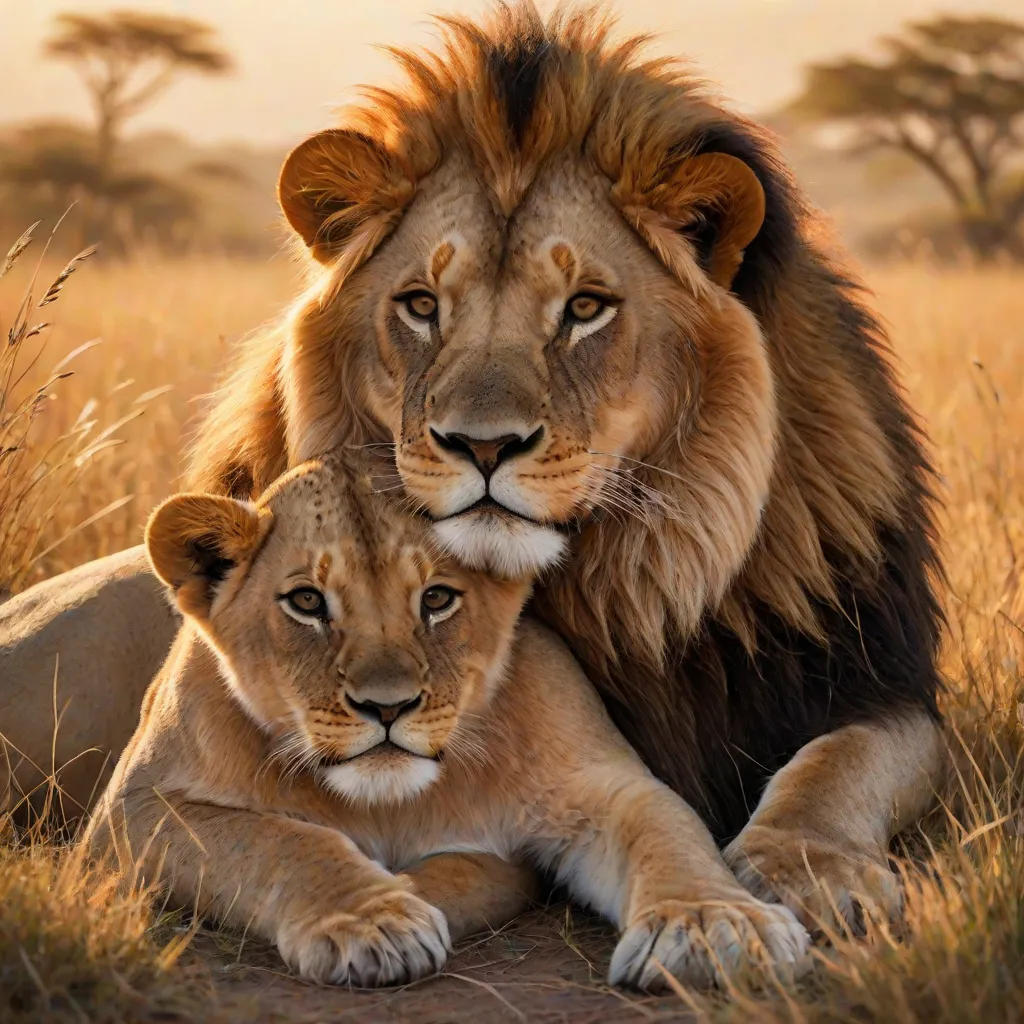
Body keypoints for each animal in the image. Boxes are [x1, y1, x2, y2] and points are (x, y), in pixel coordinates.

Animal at [3, 3, 944, 930]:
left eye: (586, 307)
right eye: (421, 305)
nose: (482, 446)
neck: (612, 587)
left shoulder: (874, 676)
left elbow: (837, 763)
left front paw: (808, 870)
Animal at [86, 450, 810, 989]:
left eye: (436, 599)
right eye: (306, 602)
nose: (387, 707)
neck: (388, 804)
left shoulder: (602, 787)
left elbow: (671, 835)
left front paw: (715, 927)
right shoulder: (133, 811)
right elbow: (281, 840)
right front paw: (374, 921)